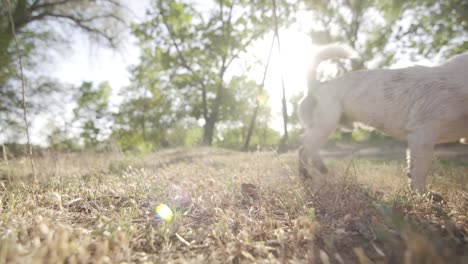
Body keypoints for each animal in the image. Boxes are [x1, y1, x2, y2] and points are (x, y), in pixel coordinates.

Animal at [298, 44, 468, 193]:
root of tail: (318, 85)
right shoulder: (423, 135)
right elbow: (420, 171)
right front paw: (424, 195)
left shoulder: (418, 140)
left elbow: (412, 168)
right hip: (325, 125)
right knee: (304, 147)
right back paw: (305, 173)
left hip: (324, 128)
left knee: (310, 148)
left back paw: (319, 168)